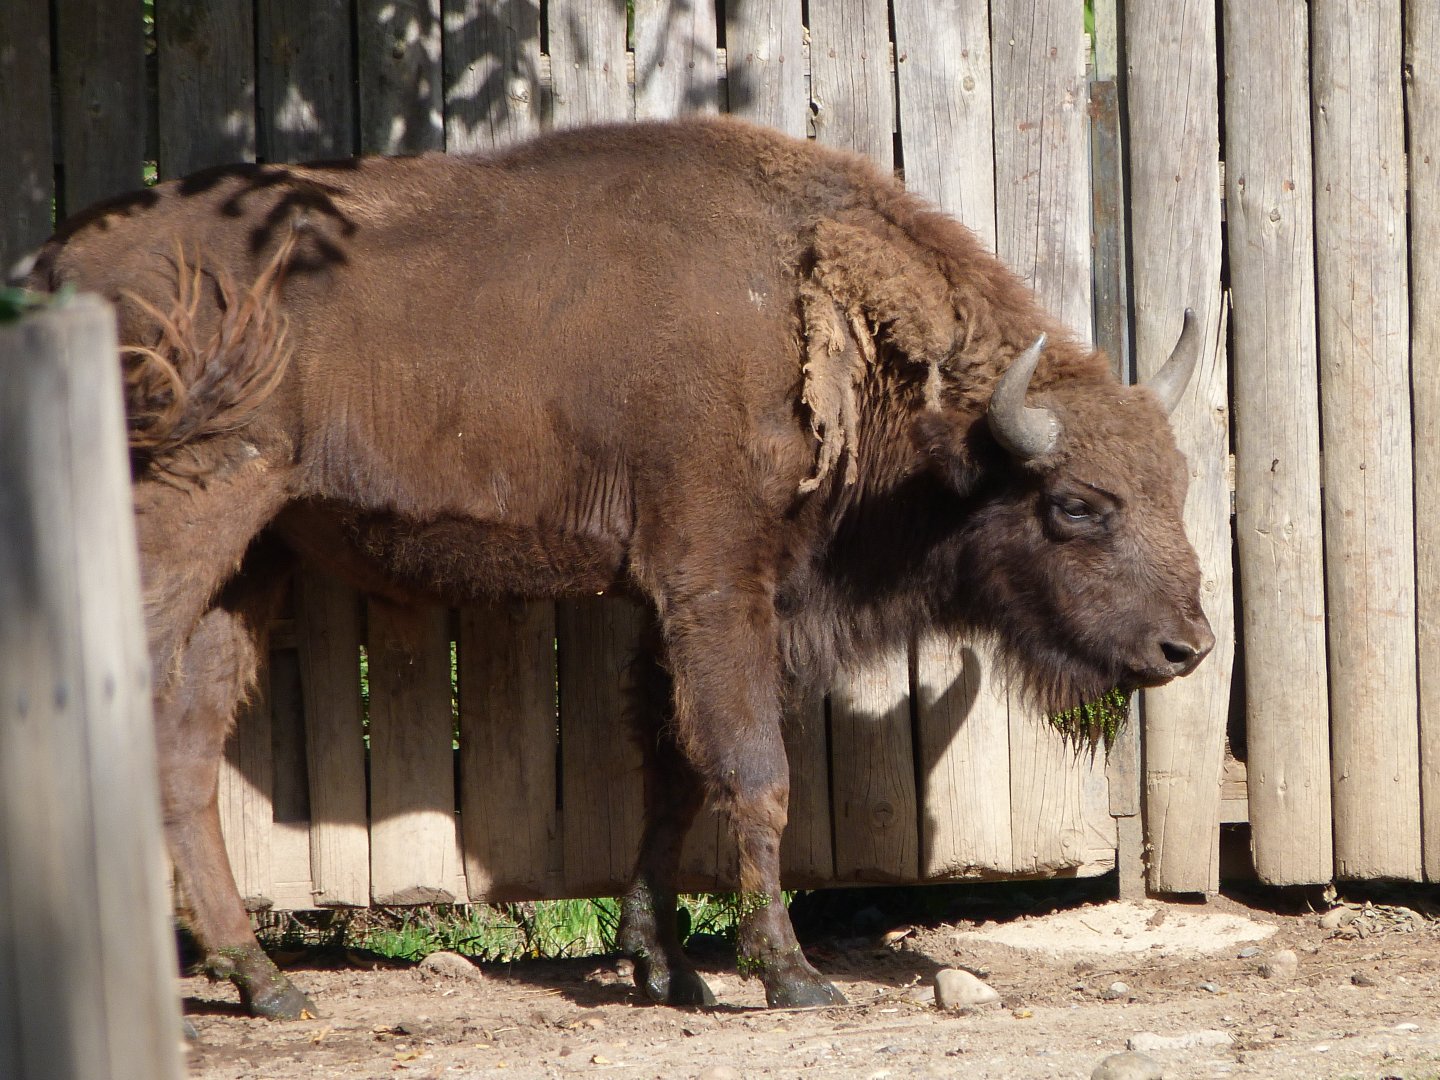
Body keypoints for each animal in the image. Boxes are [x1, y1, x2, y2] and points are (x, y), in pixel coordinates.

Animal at [26, 115, 1212, 1016]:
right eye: (1076, 505)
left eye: (1179, 480)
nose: (1188, 646)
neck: (812, 298)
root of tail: (53, 266)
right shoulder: (715, 581)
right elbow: (751, 769)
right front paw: (790, 976)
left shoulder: (674, 603)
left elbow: (673, 771)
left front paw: (663, 965)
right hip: (194, 506)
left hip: (258, 555)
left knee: (185, 749)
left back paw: (266, 983)